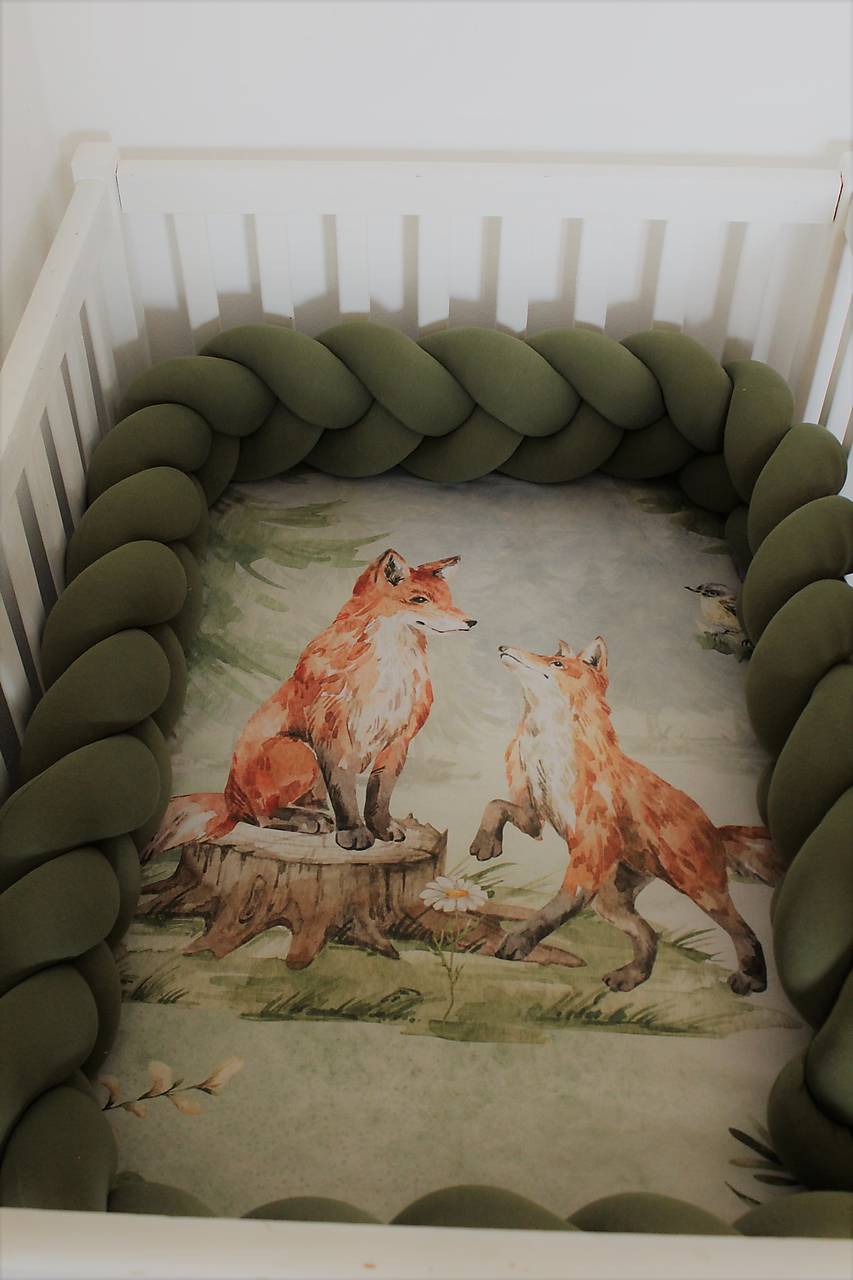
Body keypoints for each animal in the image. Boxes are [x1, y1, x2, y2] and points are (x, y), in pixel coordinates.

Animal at [150, 549, 476, 857]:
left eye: (448, 599)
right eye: (419, 599)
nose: (471, 622)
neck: (389, 669)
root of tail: (230, 797)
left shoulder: (398, 740)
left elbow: (379, 795)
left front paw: (382, 829)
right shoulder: (333, 737)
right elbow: (345, 794)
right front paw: (353, 833)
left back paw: (314, 814)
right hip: (302, 753)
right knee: (260, 816)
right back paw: (308, 820)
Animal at [470, 635, 784, 994]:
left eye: (556, 663)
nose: (503, 647)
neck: (547, 751)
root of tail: (715, 829)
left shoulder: (590, 842)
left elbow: (560, 903)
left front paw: (520, 941)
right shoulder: (534, 816)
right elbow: (495, 805)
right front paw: (486, 844)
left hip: (701, 890)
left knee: (744, 931)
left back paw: (752, 979)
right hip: (611, 901)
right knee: (650, 934)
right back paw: (632, 976)